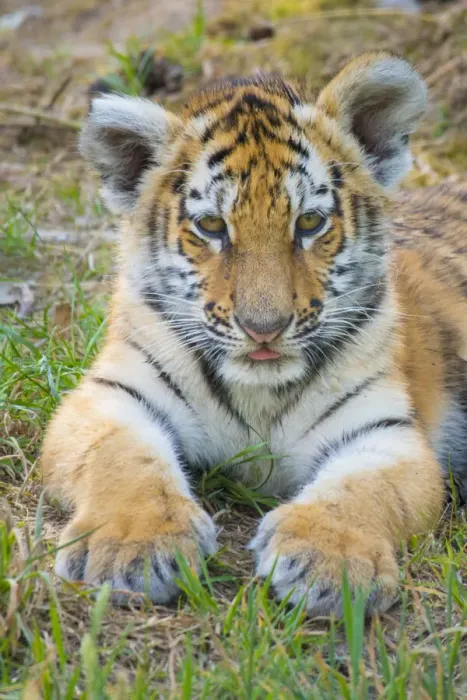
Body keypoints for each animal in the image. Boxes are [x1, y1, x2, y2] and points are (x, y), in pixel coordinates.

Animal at [41, 52, 467, 616]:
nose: (263, 328)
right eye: (212, 227)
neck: (258, 395)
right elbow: (121, 462)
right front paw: (131, 547)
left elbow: (362, 491)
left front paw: (327, 559)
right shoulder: (113, 398)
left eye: (309, 223)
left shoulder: (384, 431)